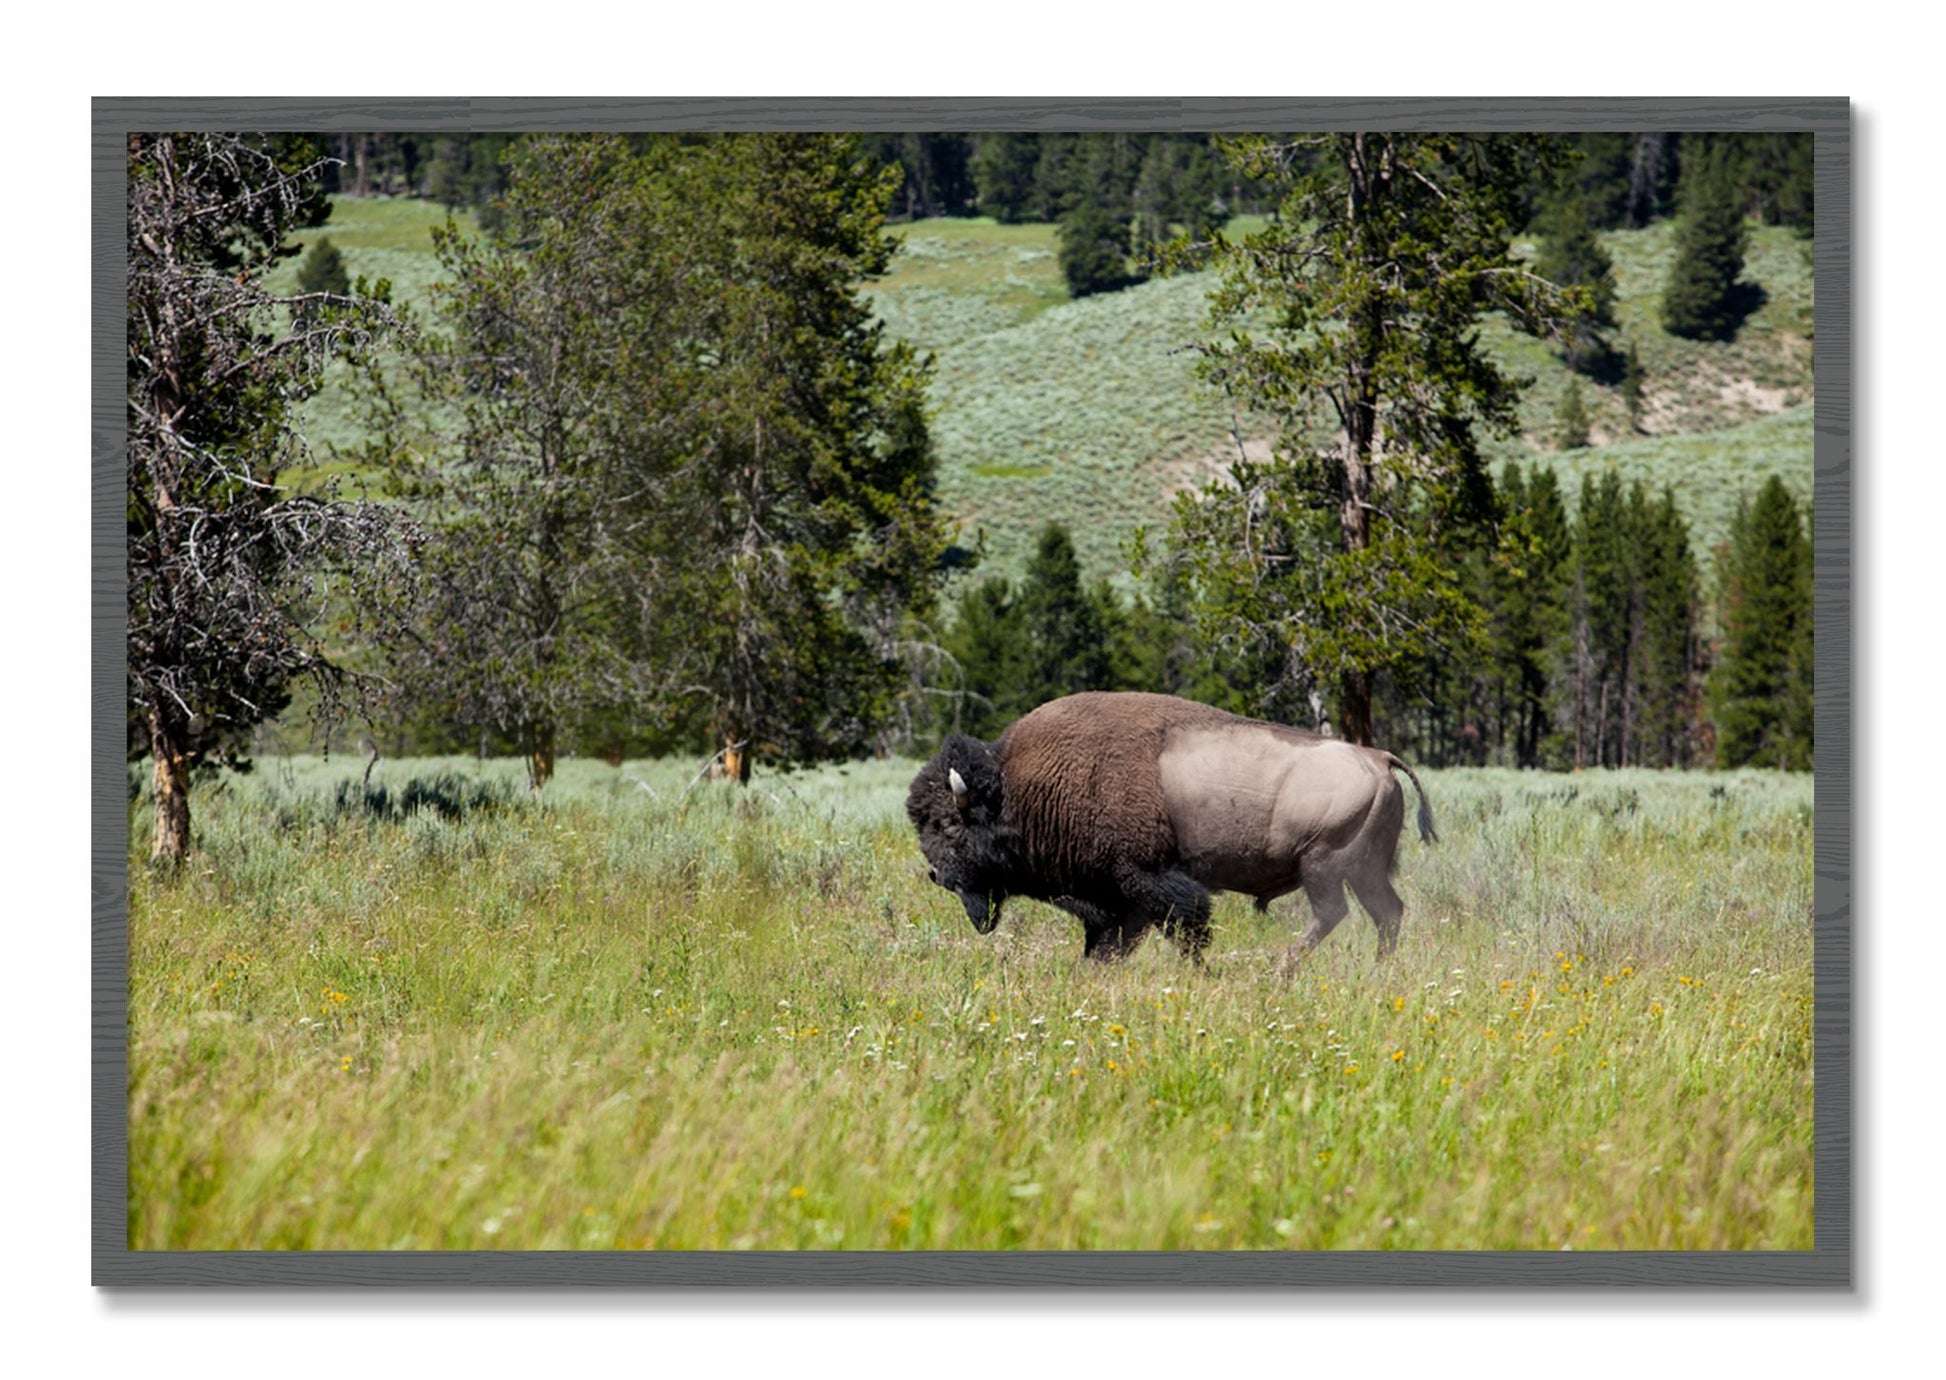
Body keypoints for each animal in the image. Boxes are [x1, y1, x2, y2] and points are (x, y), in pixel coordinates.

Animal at [906, 692, 1437, 967]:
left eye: (949, 824)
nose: (935, 875)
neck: (1019, 787)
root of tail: (1377, 758)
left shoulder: (1147, 881)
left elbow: (1186, 928)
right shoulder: (1117, 900)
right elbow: (1109, 945)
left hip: (1323, 865)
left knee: (1334, 914)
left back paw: (1280, 970)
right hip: (1363, 870)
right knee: (1387, 913)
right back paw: (1376, 971)